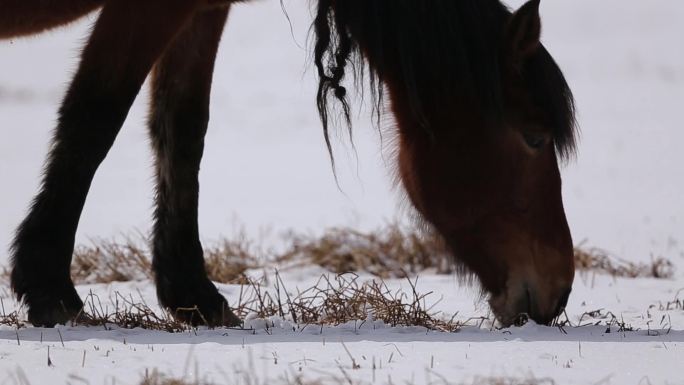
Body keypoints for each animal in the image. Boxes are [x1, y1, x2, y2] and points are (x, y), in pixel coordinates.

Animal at [0, 0, 576, 328]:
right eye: (535, 136)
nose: (559, 290)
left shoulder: (200, 11)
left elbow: (180, 129)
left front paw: (193, 294)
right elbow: (93, 121)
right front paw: (49, 289)